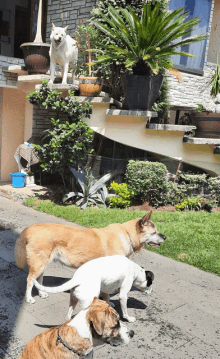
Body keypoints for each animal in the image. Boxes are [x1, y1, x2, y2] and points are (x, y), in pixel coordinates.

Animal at [14, 211, 165, 304]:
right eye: (154, 232)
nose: (165, 237)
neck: (127, 234)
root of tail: (30, 228)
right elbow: (106, 293)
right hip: (39, 263)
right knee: (29, 280)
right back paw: (29, 298)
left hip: (42, 263)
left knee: (38, 279)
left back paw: (42, 293)